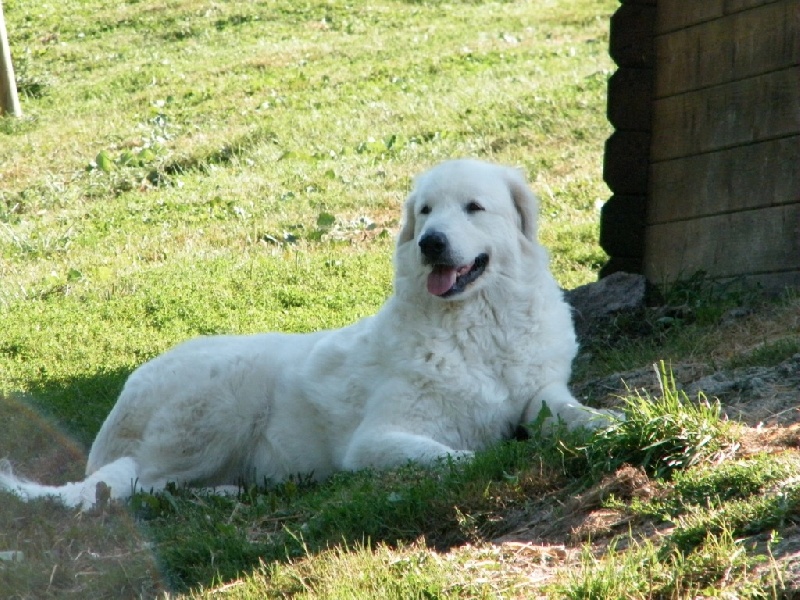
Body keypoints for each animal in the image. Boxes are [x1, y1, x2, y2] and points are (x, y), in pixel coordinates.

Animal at [0, 157, 616, 508]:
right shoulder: (377, 440)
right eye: (425, 211)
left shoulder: (537, 391)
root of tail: (129, 389)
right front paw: (497, 454)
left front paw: (609, 422)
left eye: (473, 207)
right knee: (140, 484)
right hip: (219, 399)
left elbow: (567, 411)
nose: (430, 242)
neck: (477, 325)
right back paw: (221, 493)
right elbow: (459, 456)